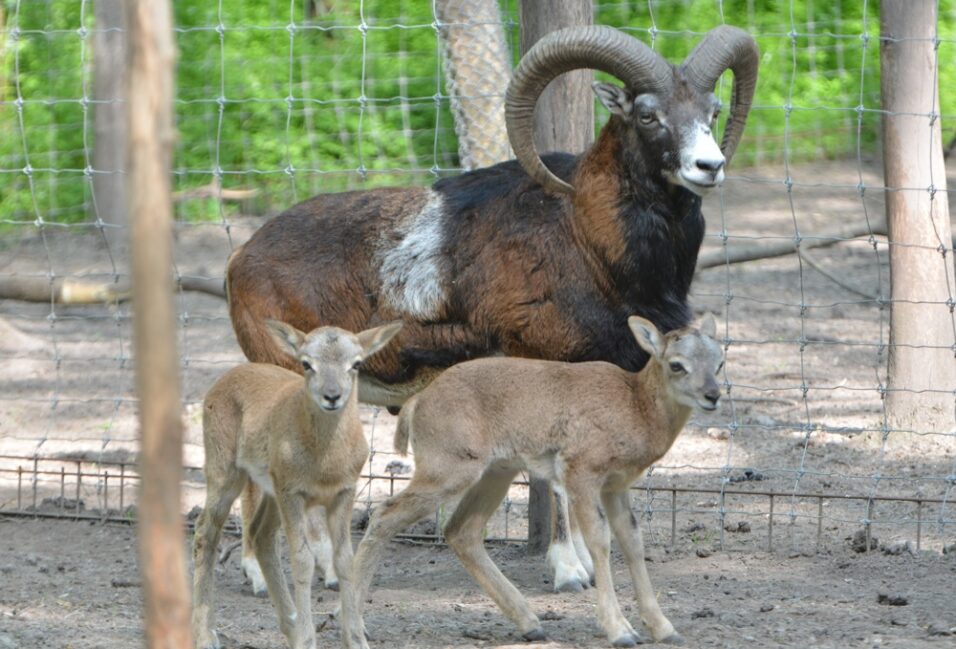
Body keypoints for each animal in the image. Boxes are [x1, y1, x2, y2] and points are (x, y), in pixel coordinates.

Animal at [228, 24, 760, 592]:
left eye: (712, 111)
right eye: (647, 115)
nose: (709, 166)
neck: (586, 238)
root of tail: (240, 259)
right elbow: (552, 477)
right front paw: (569, 569)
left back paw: (327, 573)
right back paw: (261, 575)